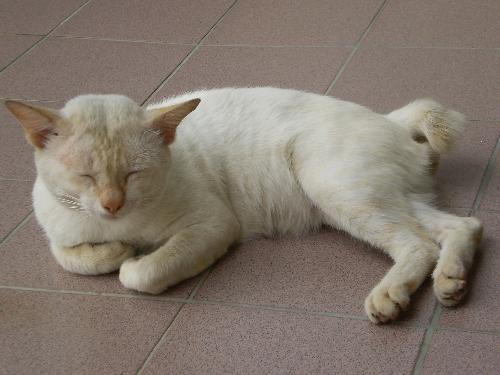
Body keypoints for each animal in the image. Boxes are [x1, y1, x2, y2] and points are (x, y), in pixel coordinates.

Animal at [2, 87, 480, 324]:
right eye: (85, 175)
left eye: (133, 173)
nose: (112, 203)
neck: (117, 225)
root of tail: (389, 119)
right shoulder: (58, 229)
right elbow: (71, 257)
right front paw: (114, 250)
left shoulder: (214, 224)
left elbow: (139, 273)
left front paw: (130, 257)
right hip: (382, 197)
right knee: (463, 226)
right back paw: (451, 282)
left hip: (336, 190)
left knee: (419, 244)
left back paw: (390, 297)